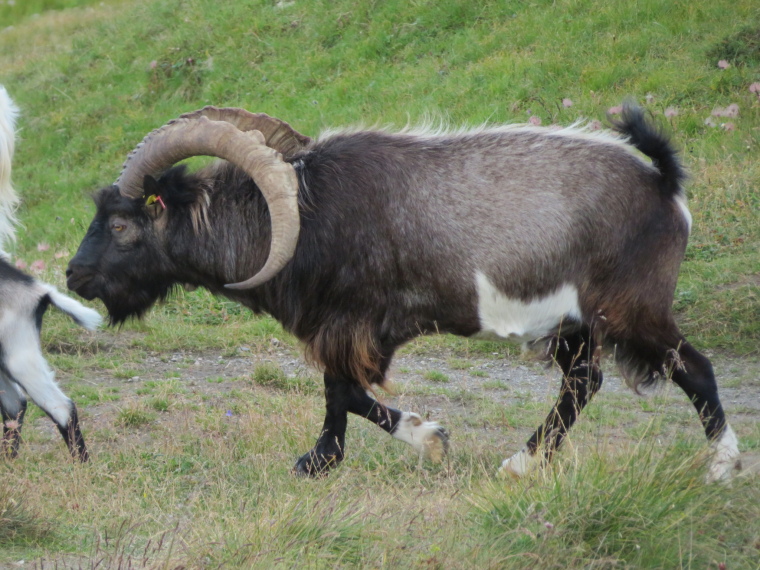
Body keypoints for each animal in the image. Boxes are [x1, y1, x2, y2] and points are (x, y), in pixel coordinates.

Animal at [67, 103, 744, 480]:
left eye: (122, 224)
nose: (75, 276)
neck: (304, 215)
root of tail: (663, 184)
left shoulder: (354, 321)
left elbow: (342, 391)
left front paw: (348, 455)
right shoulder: (352, 327)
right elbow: (345, 393)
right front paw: (369, 449)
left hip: (633, 308)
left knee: (694, 369)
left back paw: (724, 466)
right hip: (574, 325)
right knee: (583, 383)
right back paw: (520, 465)